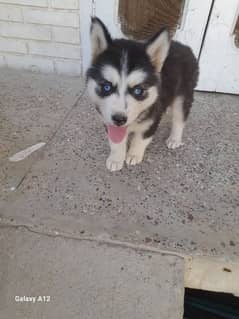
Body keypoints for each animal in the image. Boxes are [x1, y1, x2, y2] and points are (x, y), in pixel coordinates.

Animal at [86, 16, 198, 172]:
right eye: (107, 87)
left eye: (138, 91)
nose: (119, 119)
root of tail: (185, 47)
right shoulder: (107, 119)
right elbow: (116, 141)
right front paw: (116, 158)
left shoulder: (152, 119)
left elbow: (141, 139)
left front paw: (133, 154)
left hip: (183, 95)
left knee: (180, 117)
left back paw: (175, 139)